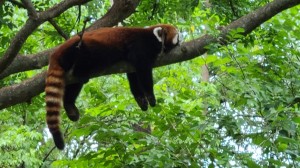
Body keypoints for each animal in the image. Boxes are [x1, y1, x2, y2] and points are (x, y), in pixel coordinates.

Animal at [44, 24, 180, 150]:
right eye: (177, 35)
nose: (181, 40)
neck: (151, 36)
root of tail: (56, 52)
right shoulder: (139, 46)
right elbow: (143, 73)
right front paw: (150, 97)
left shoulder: (130, 62)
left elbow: (133, 77)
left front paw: (141, 99)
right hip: (81, 49)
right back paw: (81, 74)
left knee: (74, 86)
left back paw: (70, 105)